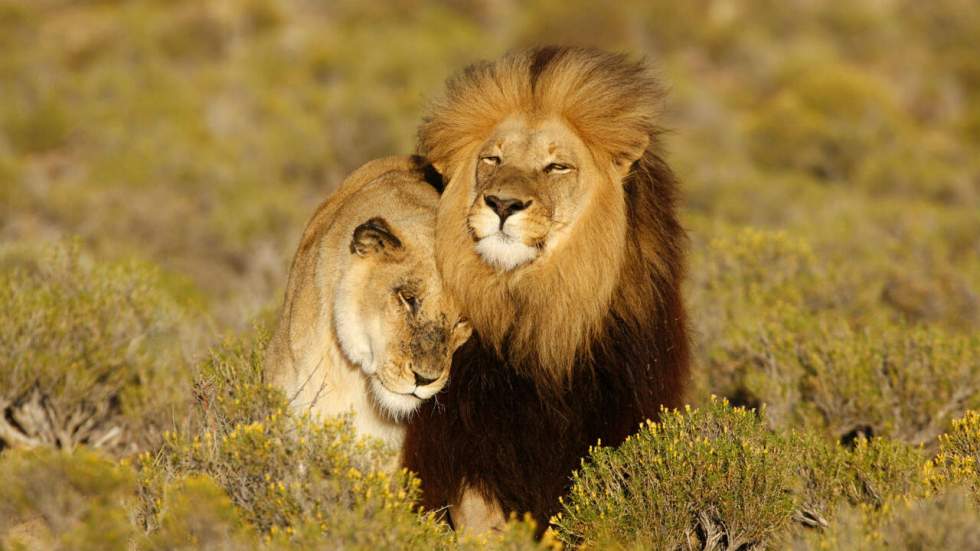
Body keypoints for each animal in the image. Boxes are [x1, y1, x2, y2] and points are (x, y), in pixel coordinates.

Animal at [400, 48, 688, 536]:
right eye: (492, 159)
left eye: (556, 167)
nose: (502, 204)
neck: (535, 310)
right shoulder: (467, 442)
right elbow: (479, 519)